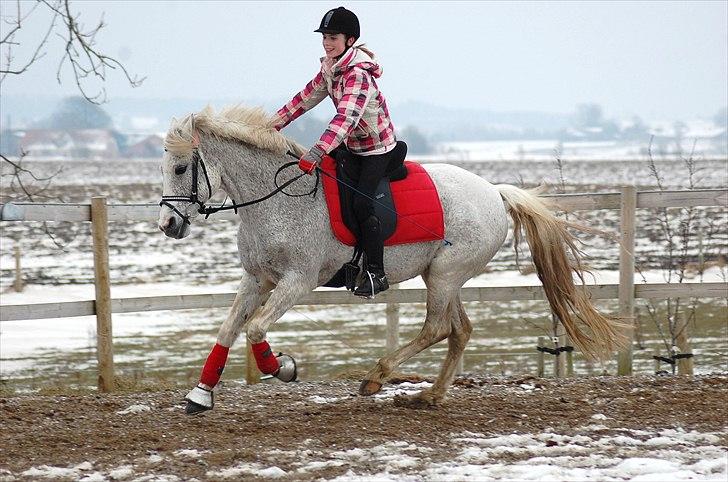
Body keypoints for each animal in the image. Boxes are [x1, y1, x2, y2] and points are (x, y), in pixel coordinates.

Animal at [158, 106, 624, 414]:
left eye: (180, 168)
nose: (168, 224)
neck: (278, 198)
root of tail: (495, 192)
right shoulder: (257, 278)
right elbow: (228, 329)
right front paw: (200, 395)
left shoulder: (298, 280)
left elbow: (254, 329)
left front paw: (284, 368)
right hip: (443, 276)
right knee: (459, 330)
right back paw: (430, 394)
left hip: (444, 275)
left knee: (437, 328)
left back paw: (376, 377)